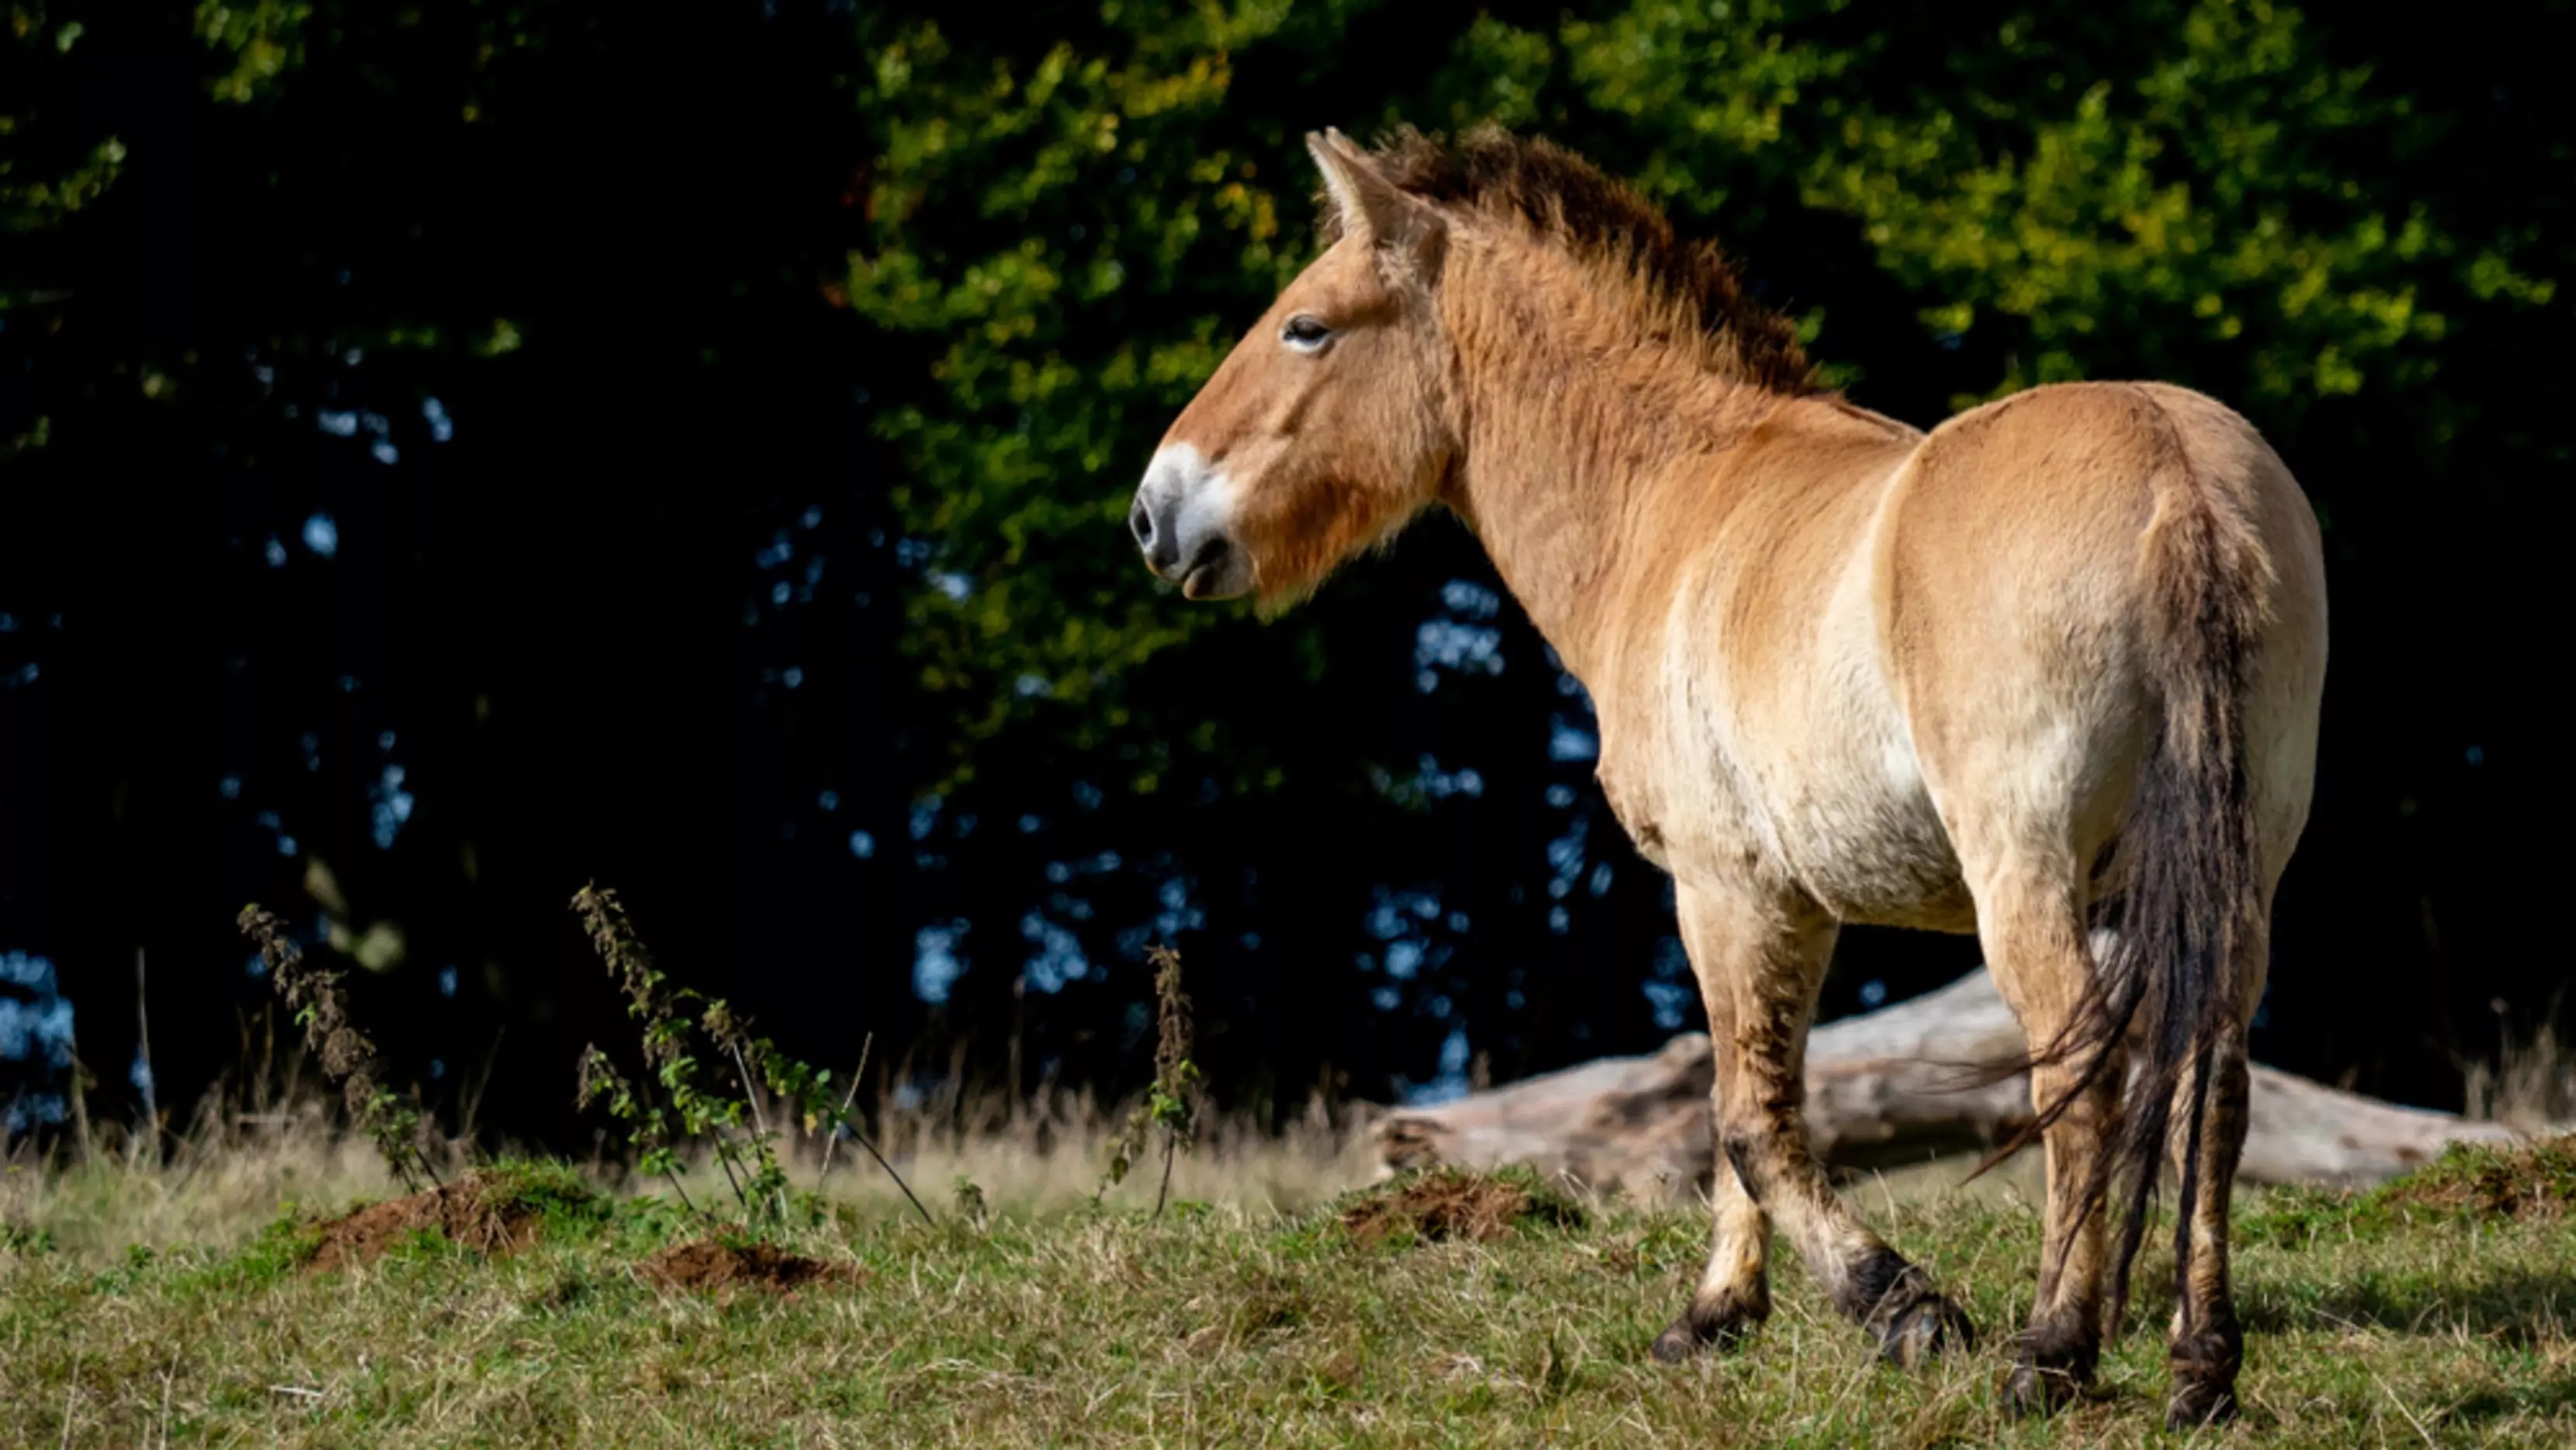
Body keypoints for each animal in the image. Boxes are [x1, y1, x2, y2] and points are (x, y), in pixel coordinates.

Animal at [1128, 127, 2338, 1431]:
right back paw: (2199, 1363)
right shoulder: (1786, 906)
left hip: (2027, 878)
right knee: (2211, 1077)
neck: (1673, 497)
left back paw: (2049, 1350)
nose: (1153, 513)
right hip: (2226, 881)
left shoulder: (1724, 886)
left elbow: (1745, 1114)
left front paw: (1898, 1305)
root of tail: (2176, 477)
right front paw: (1716, 1314)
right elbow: (1749, 1095)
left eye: (1305, 326)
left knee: (2080, 1071)